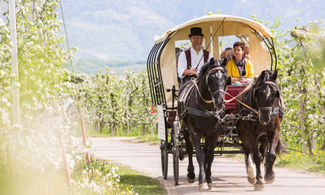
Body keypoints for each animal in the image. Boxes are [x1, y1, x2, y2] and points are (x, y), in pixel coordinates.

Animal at [176, 59, 229, 189]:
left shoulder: (214, 132)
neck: (207, 107)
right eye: (211, 78)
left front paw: (208, 178)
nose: (219, 101)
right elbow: (199, 154)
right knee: (190, 149)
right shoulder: (195, 131)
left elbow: (209, 155)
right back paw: (191, 174)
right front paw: (202, 180)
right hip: (185, 128)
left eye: (226, 77)